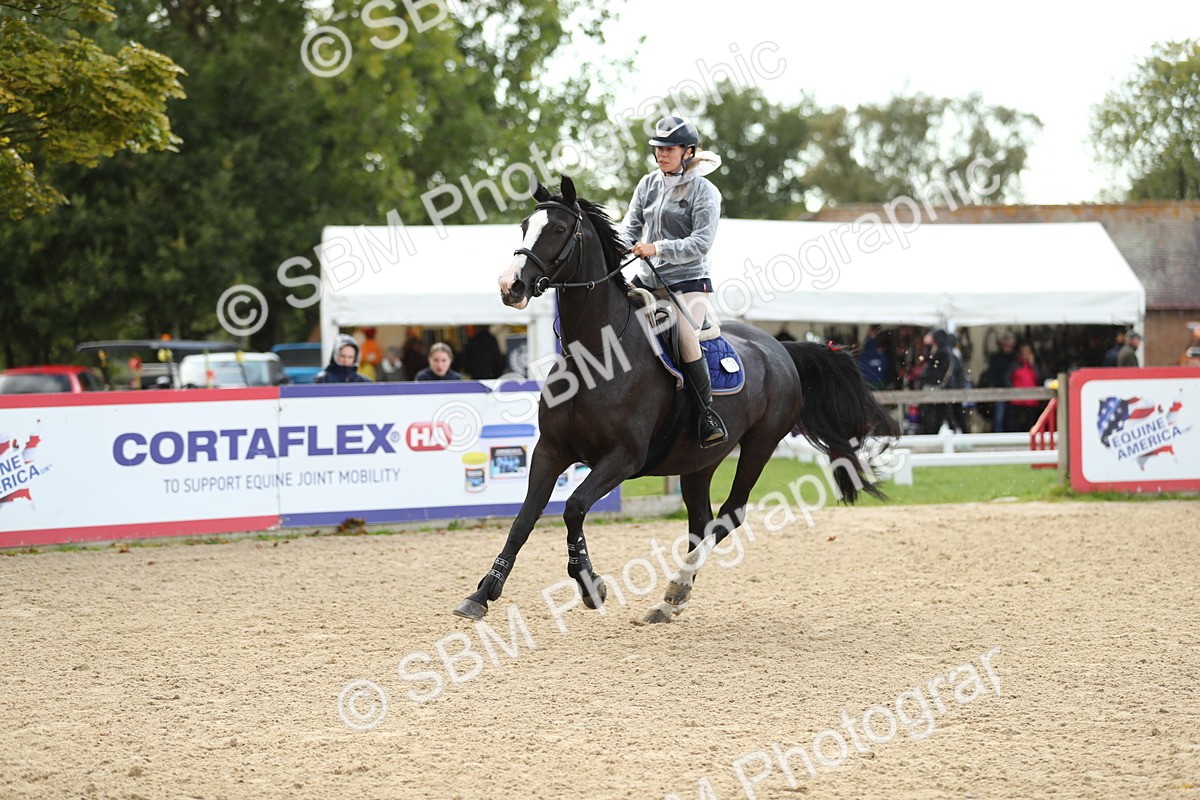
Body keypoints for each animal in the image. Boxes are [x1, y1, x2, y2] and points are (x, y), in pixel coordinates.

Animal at [453, 176, 897, 624]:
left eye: (559, 229)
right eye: (525, 226)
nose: (511, 286)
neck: (596, 356)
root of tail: (782, 349)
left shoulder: (623, 458)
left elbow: (574, 507)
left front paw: (590, 584)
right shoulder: (550, 450)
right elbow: (524, 519)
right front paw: (483, 593)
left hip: (760, 446)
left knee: (729, 514)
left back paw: (677, 587)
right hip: (699, 462)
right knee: (701, 521)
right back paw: (670, 602)